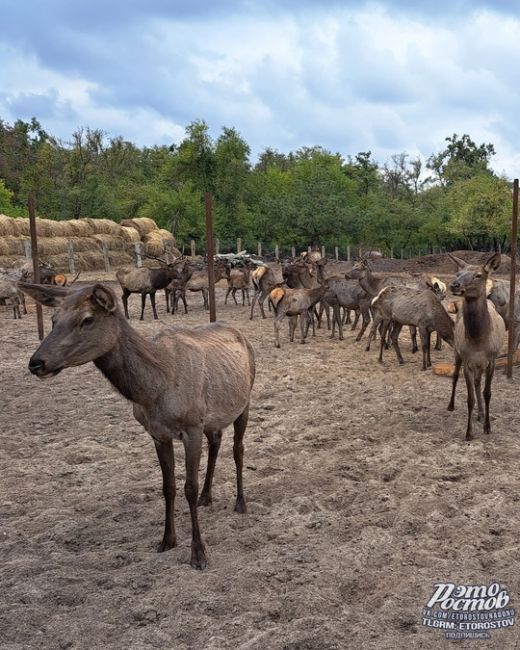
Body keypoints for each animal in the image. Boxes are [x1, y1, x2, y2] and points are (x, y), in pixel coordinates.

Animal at [20, 280, 256, 568]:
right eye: (54, 319)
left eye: (87, 319)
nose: (36, 363)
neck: (154, 389)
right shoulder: (158, 433)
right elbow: (168, 487)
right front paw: (167, 540)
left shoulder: (191, 426)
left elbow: (188, 487)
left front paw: (199, 553)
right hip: (213, 417)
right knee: (216, 443)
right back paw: (206, 497)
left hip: (245, 401)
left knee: (238, 449)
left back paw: (240, 503)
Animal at [444, 253, 506, 440]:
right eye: (458, 274)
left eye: (479, 275)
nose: (454, 285)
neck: (478, 341)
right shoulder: (467, 361)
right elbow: (469, 398)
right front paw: (469, 432)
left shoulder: (492, 359)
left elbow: (487, 393)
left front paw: (487, 426)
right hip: (457, 352)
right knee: (455, 376)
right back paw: (451, 405)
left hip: (481, 364)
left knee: (479, 383)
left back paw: (481, 413)